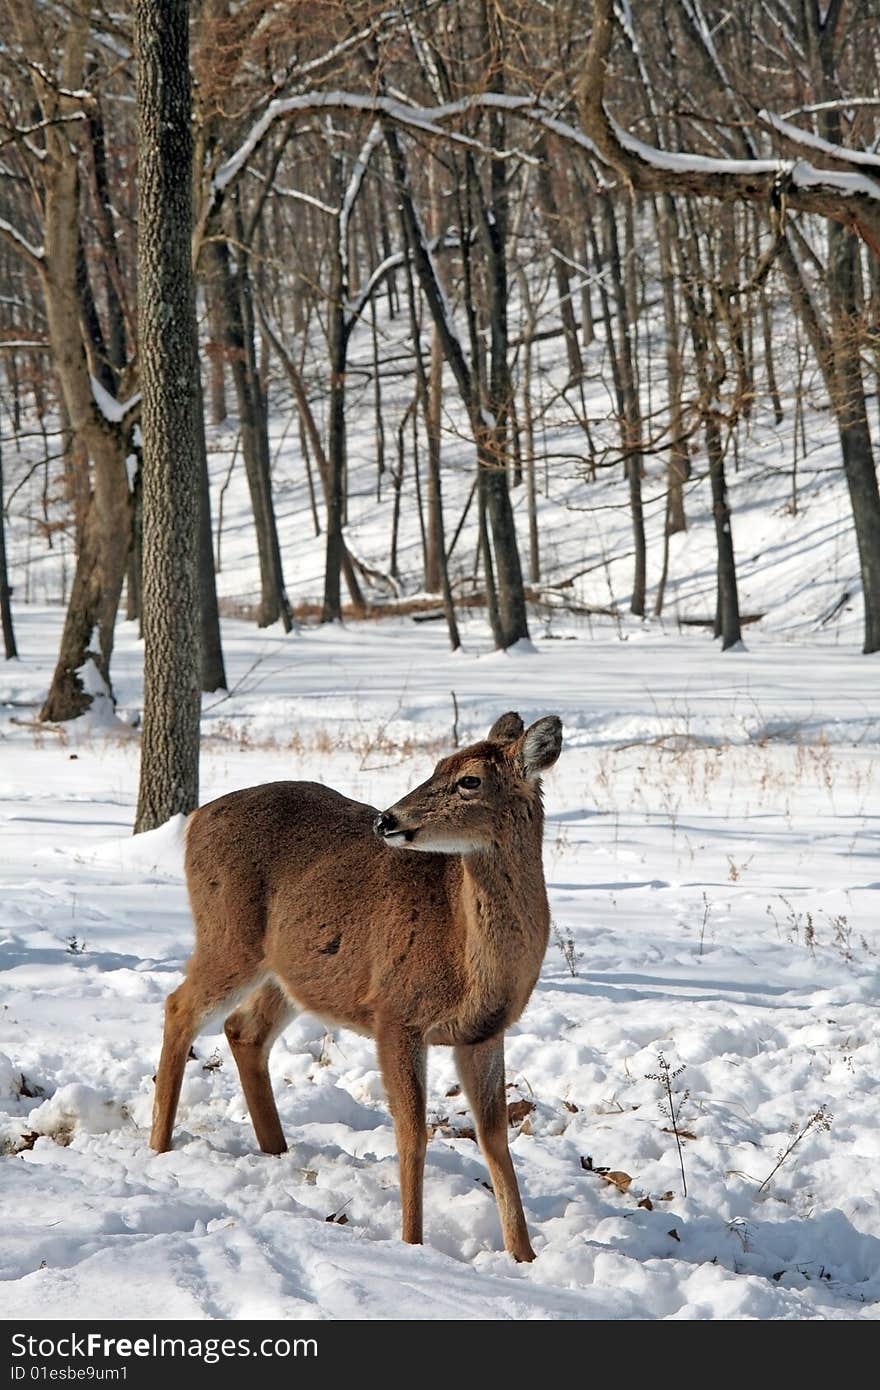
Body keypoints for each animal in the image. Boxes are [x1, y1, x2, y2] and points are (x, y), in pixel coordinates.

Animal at [150, 711, 561, 1267]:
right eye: (437, 764)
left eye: (470, 779)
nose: (387, 819)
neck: (468, 957)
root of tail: (195, 819)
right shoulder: (395, 1013)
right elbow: (412, 1134)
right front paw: (412, 1243)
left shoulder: (484, 1032)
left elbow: (495, 1136)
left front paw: (524, 1256)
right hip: (229, 936)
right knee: (179, 1006)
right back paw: (159, 1147)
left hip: (290, 970)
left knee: (243, 1029)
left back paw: (276, 1149)